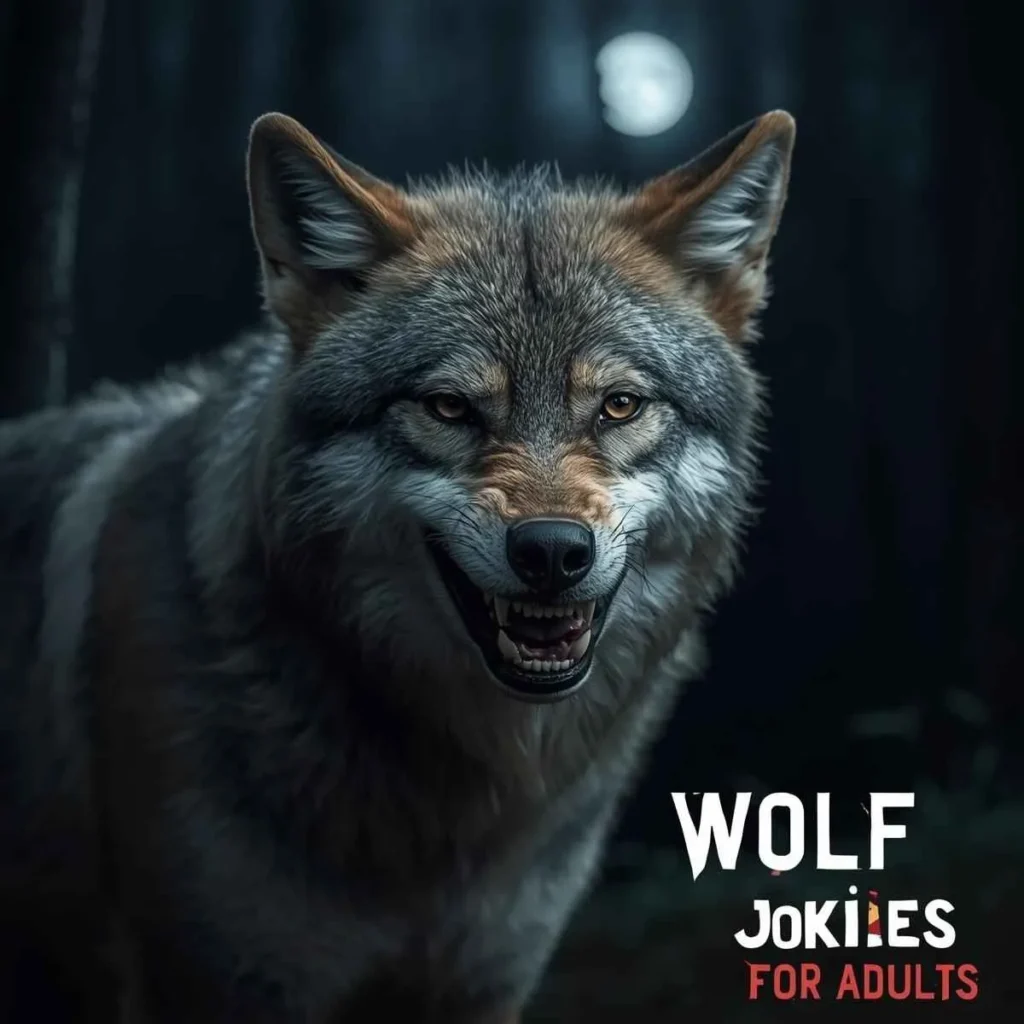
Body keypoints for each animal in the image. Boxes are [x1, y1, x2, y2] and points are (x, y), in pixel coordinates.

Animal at [0, 108, 795, 1021]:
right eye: (448, 407)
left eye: (619, 406)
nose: (552, 551)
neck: (456, 808)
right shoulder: (226, 985)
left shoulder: (485, 986)